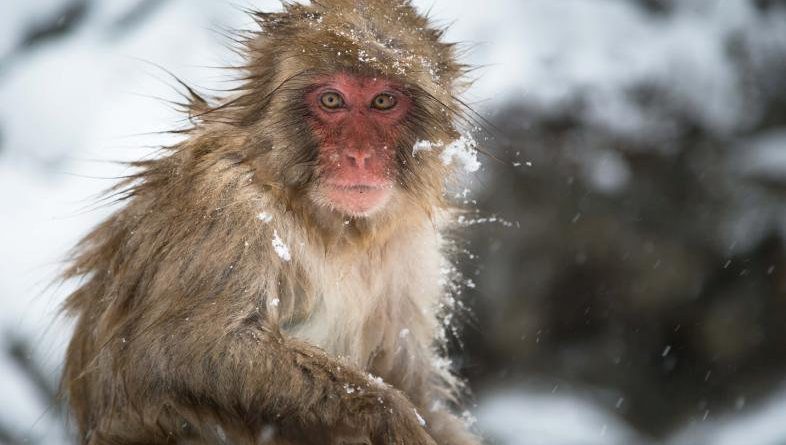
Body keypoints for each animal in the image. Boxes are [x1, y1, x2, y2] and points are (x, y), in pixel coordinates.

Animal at [61, 0, 480, 444]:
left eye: (383, 101)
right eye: (331, 100)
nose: (359, 155)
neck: (333, 226)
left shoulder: (410, 248)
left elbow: (407, 376)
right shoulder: (226, 208)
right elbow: (183, 351)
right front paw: (389, 414)